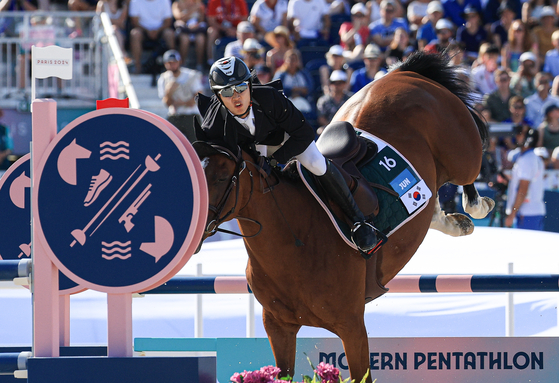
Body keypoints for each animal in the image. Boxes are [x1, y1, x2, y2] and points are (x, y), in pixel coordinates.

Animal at [192, 51, 494, 383]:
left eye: (222, 177)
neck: (295, 241)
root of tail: (403, 73)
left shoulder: (351, 327)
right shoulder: (279, 327)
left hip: (463, 155)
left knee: (470, 172)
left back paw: (476, 206)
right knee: (433, 207)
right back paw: (455, 222)